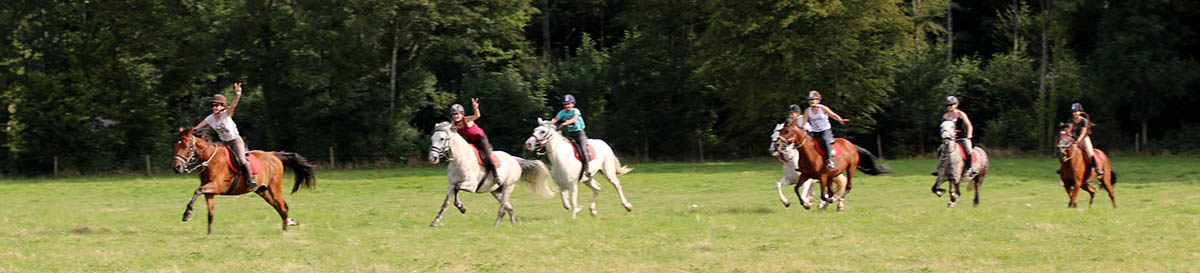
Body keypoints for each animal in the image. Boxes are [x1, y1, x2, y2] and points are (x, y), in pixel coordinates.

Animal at [172, 126, 319, 233]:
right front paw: (209, 234)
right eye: (175, 145)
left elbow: (197, 191)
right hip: (263, 191)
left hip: (275, 187)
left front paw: (187, 214)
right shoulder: (209, 192)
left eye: (186, 146)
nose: (176, 167)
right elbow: (210, 213)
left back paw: (285, 230)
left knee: (283, 206)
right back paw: (289, 223)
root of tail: (274, 155)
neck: (210, 159)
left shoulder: (216, 186)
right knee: (278, 207)